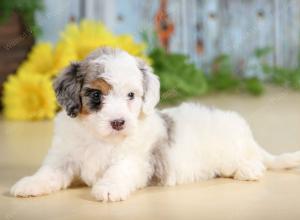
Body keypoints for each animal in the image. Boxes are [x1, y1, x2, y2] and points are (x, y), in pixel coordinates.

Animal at [10, 47, 300, 202]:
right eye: (96, 95)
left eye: (131, 95)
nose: (118, 122)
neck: (99, 137)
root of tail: (247, 135)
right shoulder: (64, 158)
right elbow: (49, 172)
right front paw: (30, 184)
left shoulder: (136, 160)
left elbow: (119, 171)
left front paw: (108, 188)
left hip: (230, 151)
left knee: (255, 162)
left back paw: (248, 170)